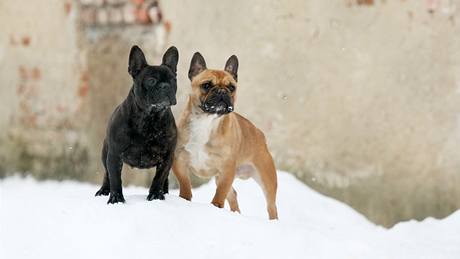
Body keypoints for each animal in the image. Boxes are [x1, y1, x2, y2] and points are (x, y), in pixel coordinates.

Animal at [95, 45, 178, 204]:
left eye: (173, 80)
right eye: (151, 80)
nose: (165, 86)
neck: (150, 117)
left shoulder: (166, 157)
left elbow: (159, 177)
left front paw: (155, 196)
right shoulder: (114, 155)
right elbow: (115, 178)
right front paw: (116, 199)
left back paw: (164, 192)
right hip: (105, 153)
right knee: (107, 174)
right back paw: (104, 190)